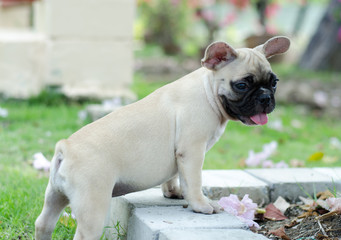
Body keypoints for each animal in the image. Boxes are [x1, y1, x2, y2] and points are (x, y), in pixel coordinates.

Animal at [35, 36, 290, 240]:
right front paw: (201, 205)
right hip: (92, 206)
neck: (207, 90)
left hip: (54, 195)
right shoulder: (192, 151)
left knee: (43, 223)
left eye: (274, 83)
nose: (265, 97)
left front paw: (173, 193)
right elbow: (193, 182)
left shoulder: (179, 155)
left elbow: (174, 175)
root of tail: (66, 148)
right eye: (242, 85)